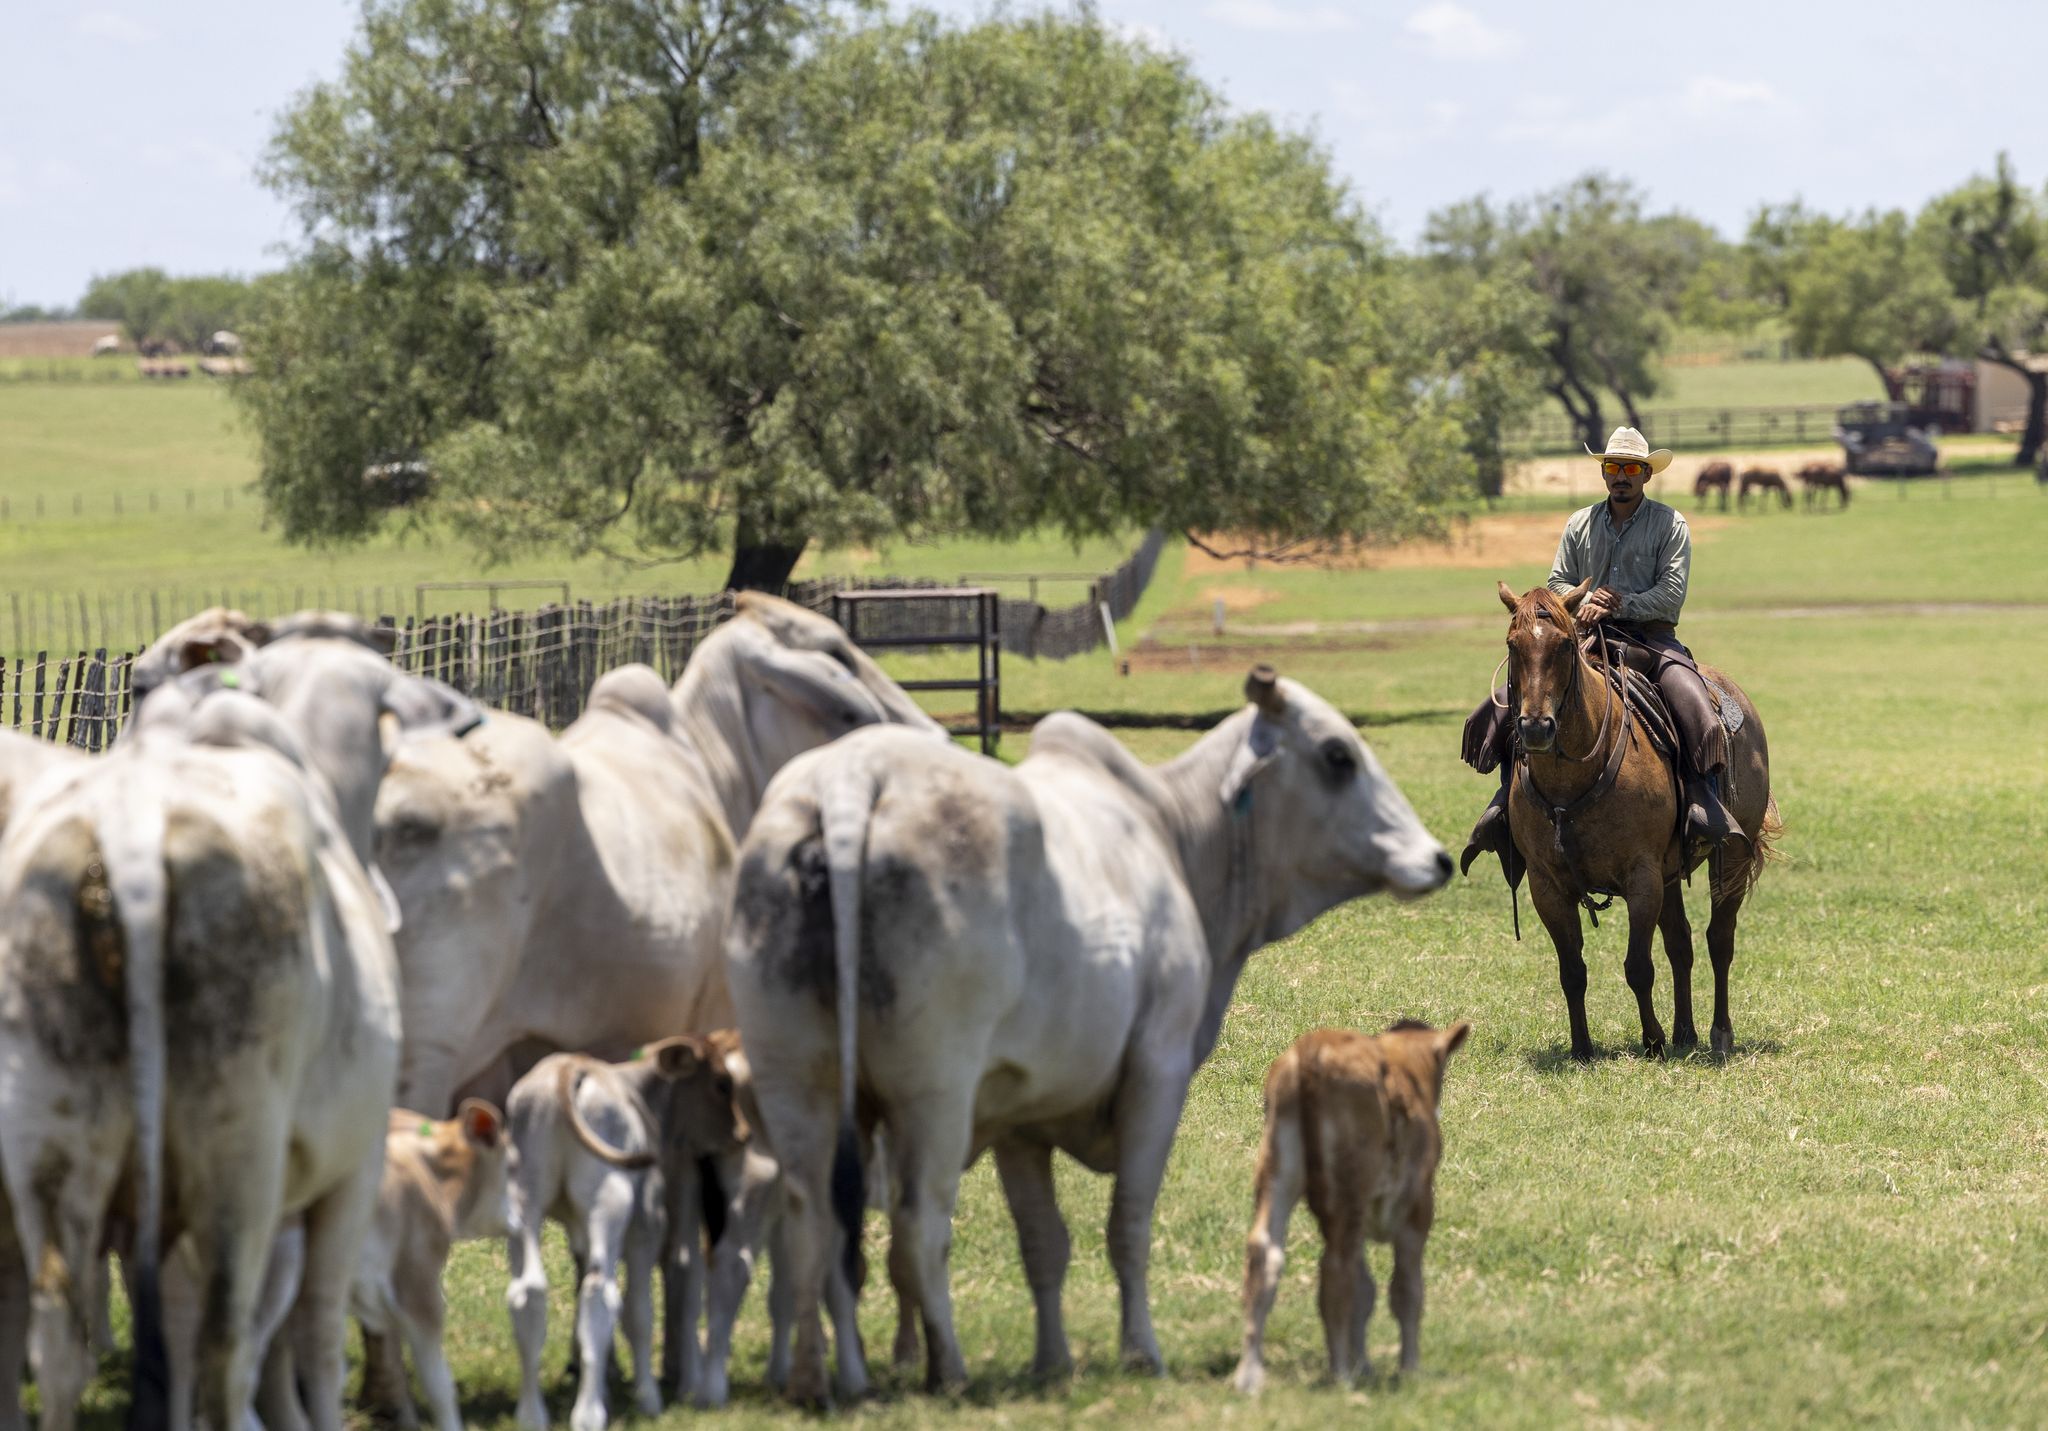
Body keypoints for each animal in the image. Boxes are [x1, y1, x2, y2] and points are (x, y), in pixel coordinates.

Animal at [1494, 579, 1780, 1060]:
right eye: (1513, 645)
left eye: (1566, 645)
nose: (1535, 727)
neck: (1572, 782)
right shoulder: (1546, 886)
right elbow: (1572, 971)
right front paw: (1582, 1047)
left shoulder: (1642, 878)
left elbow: (1638, 966)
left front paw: (1653, 1042)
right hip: (1671, 874)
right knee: (1681, 944)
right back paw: (1685, 1031)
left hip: (1733, 861)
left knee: (1719, 940)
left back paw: (1718, 1034)